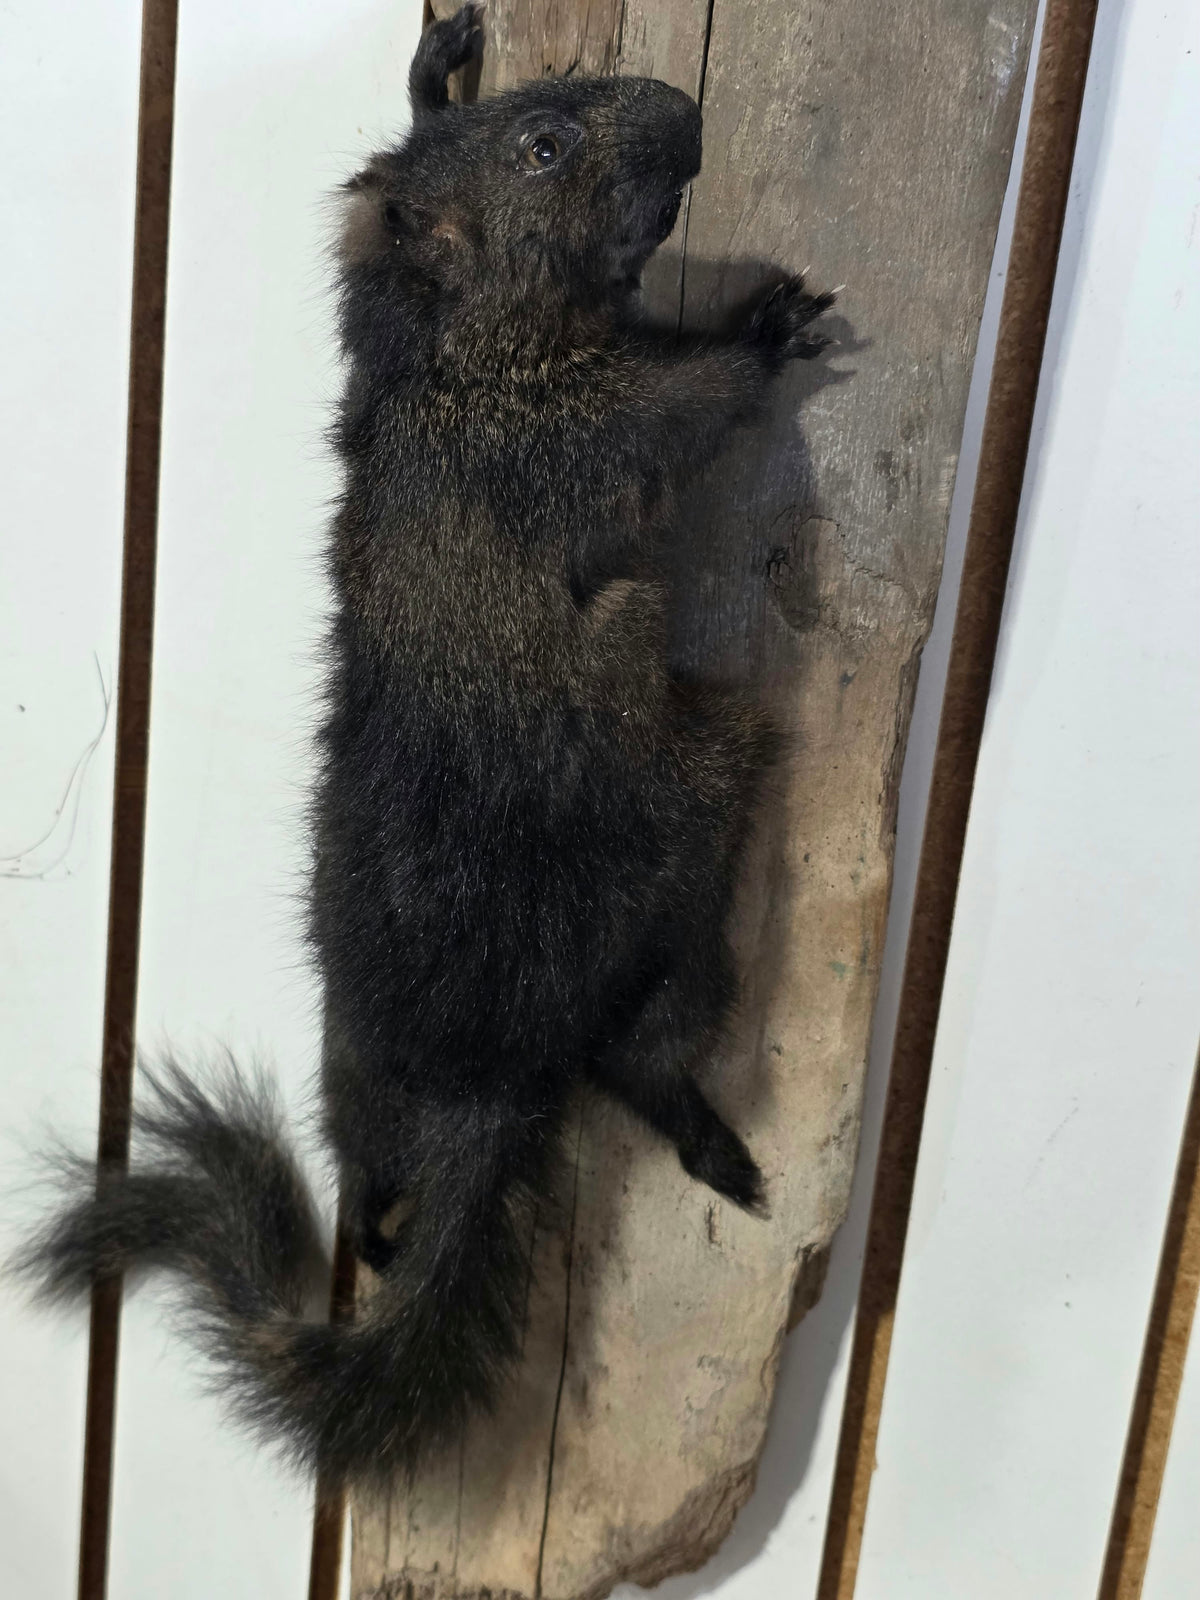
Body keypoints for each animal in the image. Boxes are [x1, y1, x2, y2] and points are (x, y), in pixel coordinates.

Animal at [19, 4, 836, 1489]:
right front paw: (767, 325)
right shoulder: (579, 422)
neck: (449, 348)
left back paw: (389, 1220)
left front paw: (431, 64)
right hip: (695, 827)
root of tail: (486, 1088)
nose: (682, 108)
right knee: (640, 1052)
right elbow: (689, 402)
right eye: (548, 143)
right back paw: (711, 1140)